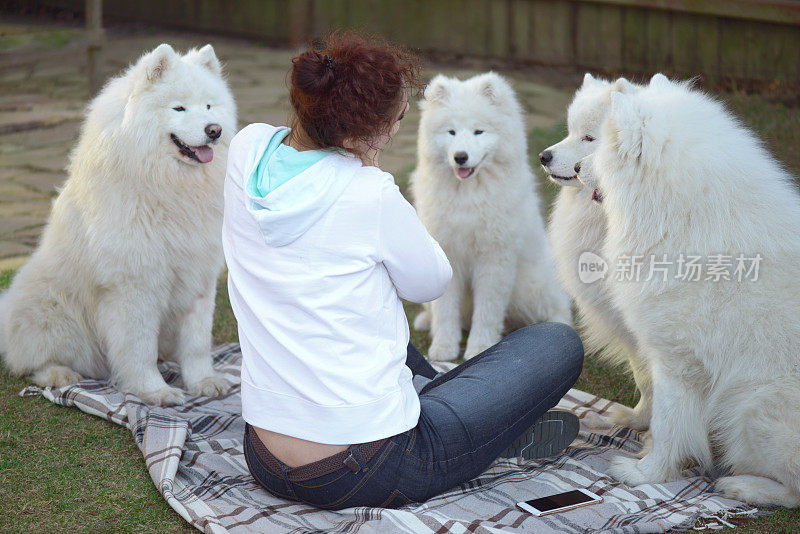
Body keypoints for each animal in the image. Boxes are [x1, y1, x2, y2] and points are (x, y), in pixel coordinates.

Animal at [0, 44, 238, 408]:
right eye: (179, 107)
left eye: (210, 106)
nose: (214, 130)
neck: (170, 188)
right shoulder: (135, 288)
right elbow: (139, 350)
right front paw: (155, 391)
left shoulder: (199, 279)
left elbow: (197, 343)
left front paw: (204, 382)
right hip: (54, 312)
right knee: (32, 360)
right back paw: (59, 375)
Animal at [410, 73, 572, 362]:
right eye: (451, 132)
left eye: (479, 131)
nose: (460, 157)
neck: (467, 194)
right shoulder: (448, 254)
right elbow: (445, 310)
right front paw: (443, 348)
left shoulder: (494, 258)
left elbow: (487, 310)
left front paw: (480, 347)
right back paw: (425, 321)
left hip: (530, 288)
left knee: (558, 308)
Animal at [580, 73, 800, 508]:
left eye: (597, 145)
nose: (576, 167)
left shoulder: (677, 364)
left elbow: (668, 425)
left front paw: (645, 473)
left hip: (754, 407)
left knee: (794, 492)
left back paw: (742, 486)